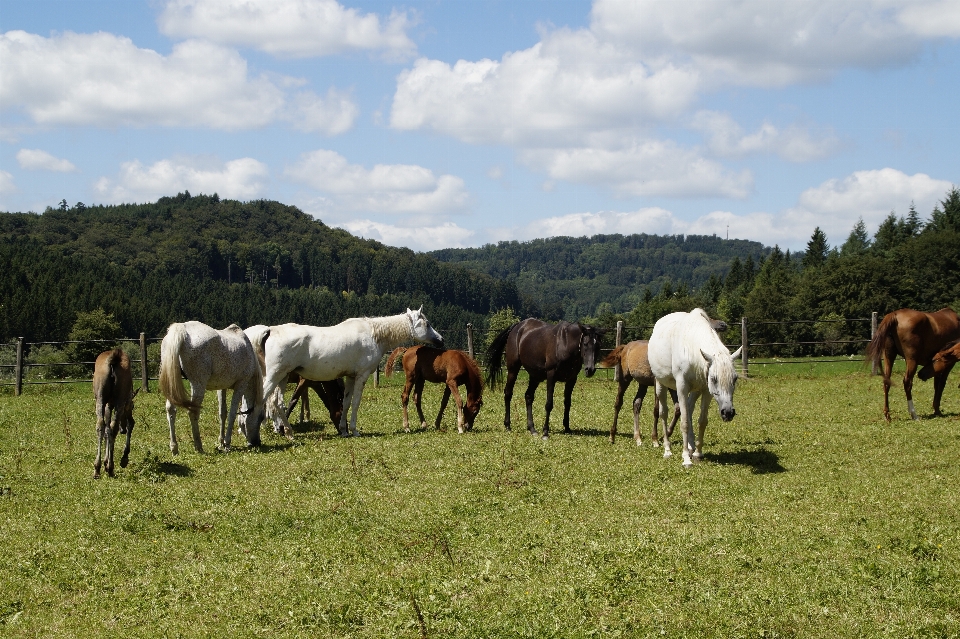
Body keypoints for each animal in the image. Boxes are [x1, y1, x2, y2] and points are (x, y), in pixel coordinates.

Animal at [93, 350, 138, 480]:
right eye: (132, 406)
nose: (123, 430)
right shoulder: (120, 404)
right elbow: (128, 424)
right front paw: (123, 458)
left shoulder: (108, 404)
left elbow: (106, 430)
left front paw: (105, 461)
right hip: (119, 401)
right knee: (114, 428)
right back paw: (110, 468)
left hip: (100, 399)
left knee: (101, 425)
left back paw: (97, 468)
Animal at [159, 320, 262, 456]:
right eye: (261, 418)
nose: (257, 442)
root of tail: (183, 329)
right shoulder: (241, 385)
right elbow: (232, 414)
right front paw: (227, 444)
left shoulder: (221, 388)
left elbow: (222, 413)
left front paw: (221, 442)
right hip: (198, 385)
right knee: (193, 411)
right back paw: (198, 446)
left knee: (171, 410)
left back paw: (174, 448)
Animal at [253, 308, 444, 440]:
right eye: (427, 324)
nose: (441, 340)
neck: (374, 334)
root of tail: (270, 331)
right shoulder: (361, 376)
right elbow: (356, 402)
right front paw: (354, 430)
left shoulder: (350, 377)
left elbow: (345, 403)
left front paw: (344, 430)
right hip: (274, 377)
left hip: (282, 377)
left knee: (277, 403)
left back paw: (289, 433)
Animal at [644, 308, 744, 468]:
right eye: (714, 378)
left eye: (735, 379)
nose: (728, 413)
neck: (691, 348)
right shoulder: (681, 388)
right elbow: (684, 422)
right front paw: (686, 458)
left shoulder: (706, 391)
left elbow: (701, 421)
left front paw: (697, 453)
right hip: (661, 385)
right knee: (664, 413)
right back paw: (668, 450)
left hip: (695, 391)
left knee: (689, 410)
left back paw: (691, 447)